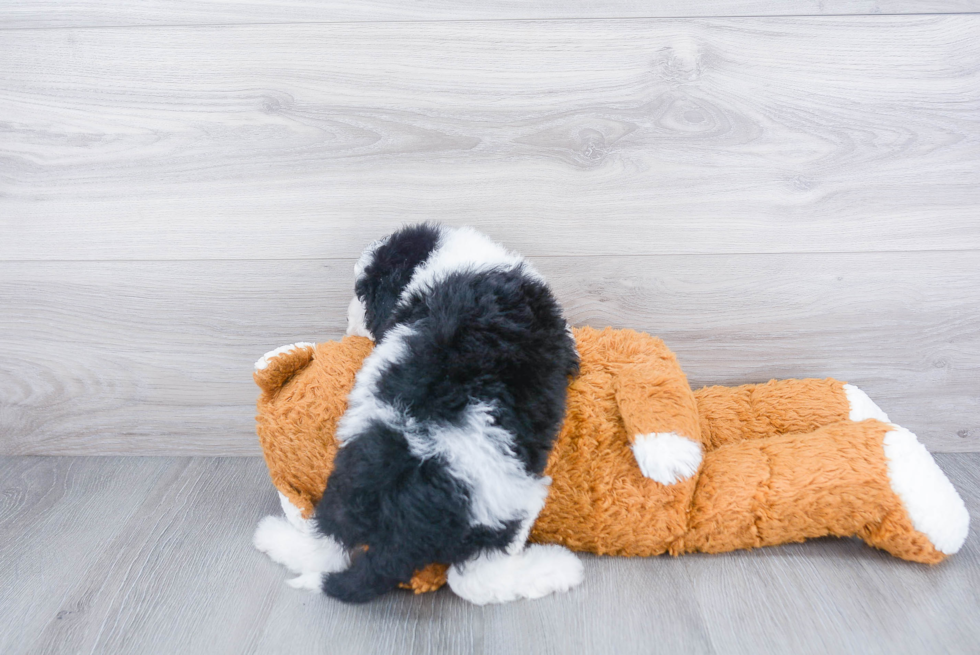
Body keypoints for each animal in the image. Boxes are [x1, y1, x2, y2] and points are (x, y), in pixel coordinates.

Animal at [304, 224, 580, 604]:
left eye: (363, 294)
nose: (347, 322)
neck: (446, 260)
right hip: (502, 504)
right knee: (476, 580)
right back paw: (555, 568)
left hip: (344, 492)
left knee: (324, 544)